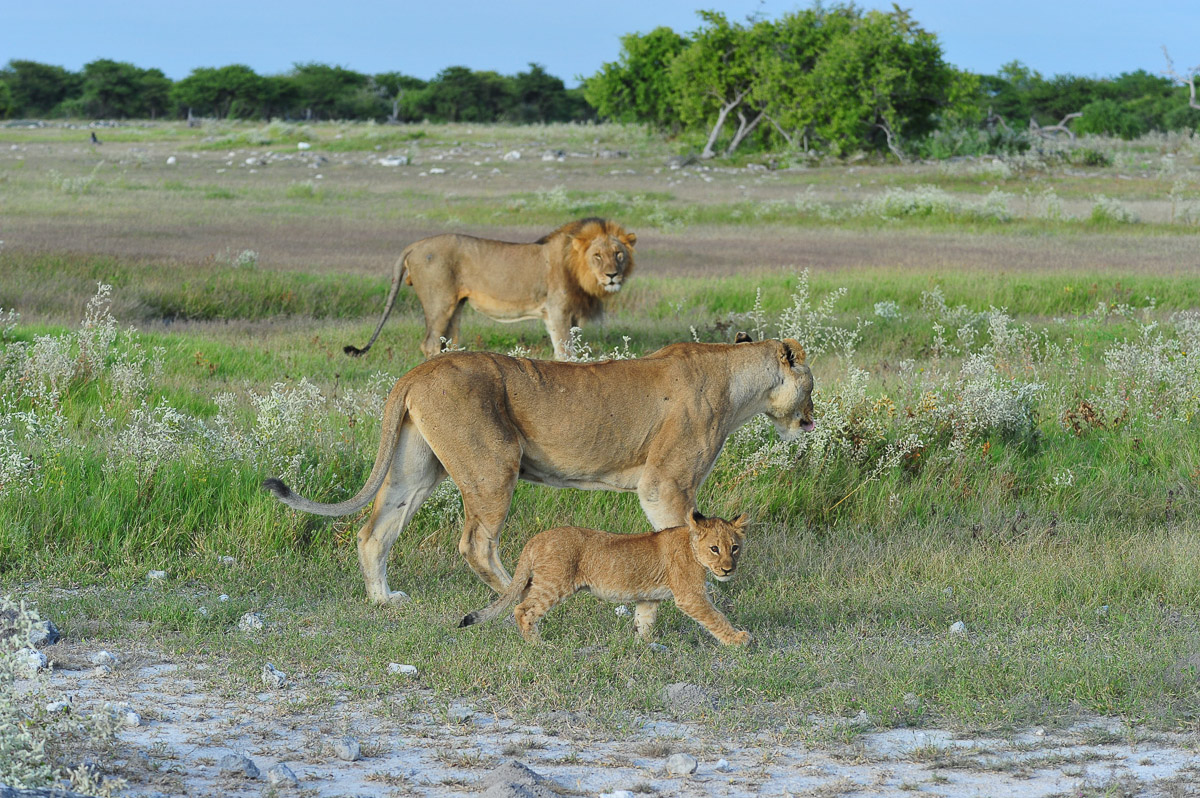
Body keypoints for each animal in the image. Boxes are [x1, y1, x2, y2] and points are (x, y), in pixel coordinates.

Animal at [263, 335, 814, 605]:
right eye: (812, 384)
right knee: (476, 545)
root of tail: (418, 370)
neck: (738, 382)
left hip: (416, 469)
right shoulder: (665, 483)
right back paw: (517, 593)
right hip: (494, 464)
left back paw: (383, 601)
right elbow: (682, 539)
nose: (813, 416)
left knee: (374, 533)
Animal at [343, 217, 637, 360]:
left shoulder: (571, 315)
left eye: (618, 254)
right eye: (597, 255)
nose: (612, 275)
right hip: (439, 303)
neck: (577, 269)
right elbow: (565, 353)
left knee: (448, 344)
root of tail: (415, 244)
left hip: (456, 306)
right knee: (430, 344)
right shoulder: (557, 311)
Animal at [458, 510, 751, 646]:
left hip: (534, 581)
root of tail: (537, 538)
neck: (692, 548)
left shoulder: (648, 599)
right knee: (523, 609)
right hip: (555, 584)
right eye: (715, 549)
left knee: (519, 601)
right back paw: (539, 645)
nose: (728, 569)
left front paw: (642, 645)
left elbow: (644, 622)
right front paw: (739, 640)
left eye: (735, 548)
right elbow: (716, 618)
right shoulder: (690, 596)